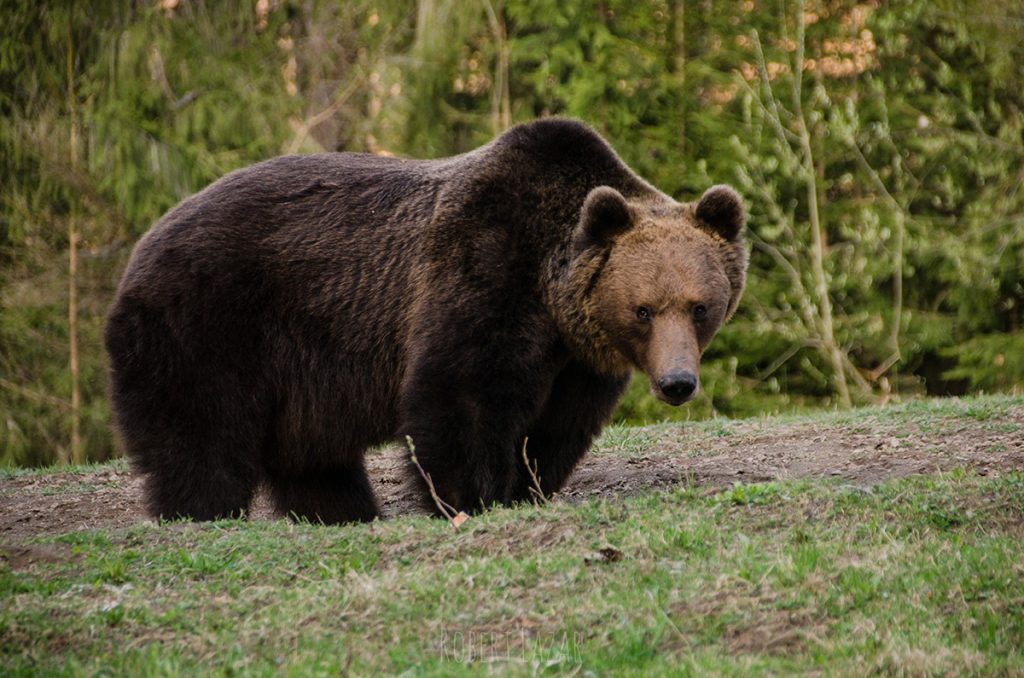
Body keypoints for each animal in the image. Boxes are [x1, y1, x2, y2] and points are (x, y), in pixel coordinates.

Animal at [105, 119, 745, 524]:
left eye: (699, 307)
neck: (550, 291)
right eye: (643, 309)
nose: (677, 383)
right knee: (201, 436)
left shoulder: (576, 360)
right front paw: (470, 498)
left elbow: (555, 427)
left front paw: (526, 486)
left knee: (312, 456)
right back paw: (202, 510)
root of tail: (140, 248)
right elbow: (460, 395)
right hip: (206, 325)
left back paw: (343, 512)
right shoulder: (483, 272)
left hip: (299, 379)